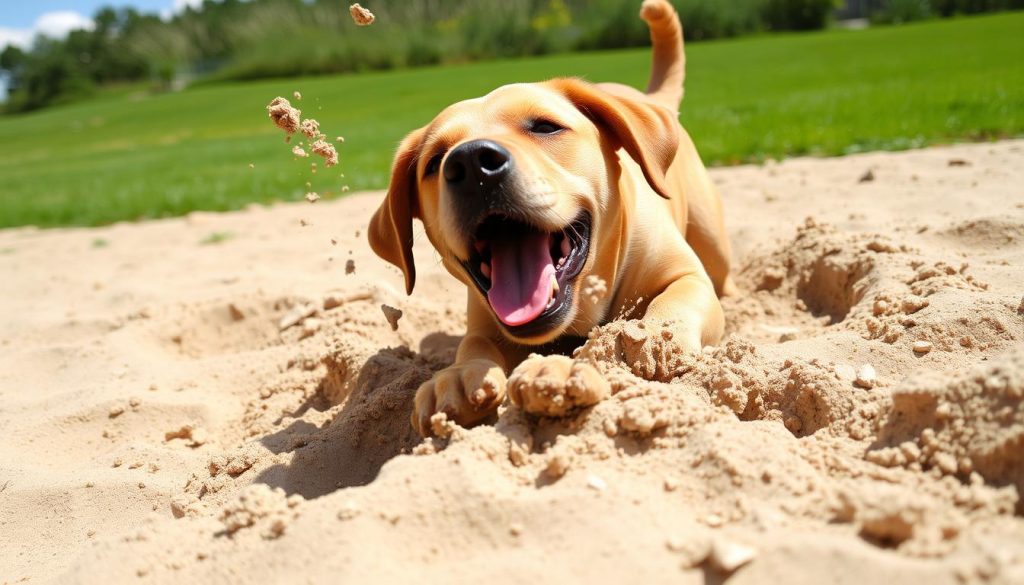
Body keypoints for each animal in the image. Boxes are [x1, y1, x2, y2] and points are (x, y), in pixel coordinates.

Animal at [372, 0, 733, 434]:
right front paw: (460, 376)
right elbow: (473, 344)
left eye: (545, 127)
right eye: (435, 161)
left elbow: (672, 304)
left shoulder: (686, 276)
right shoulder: (485, 320)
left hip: (712, 243)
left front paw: (642, 341)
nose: (472, 163)